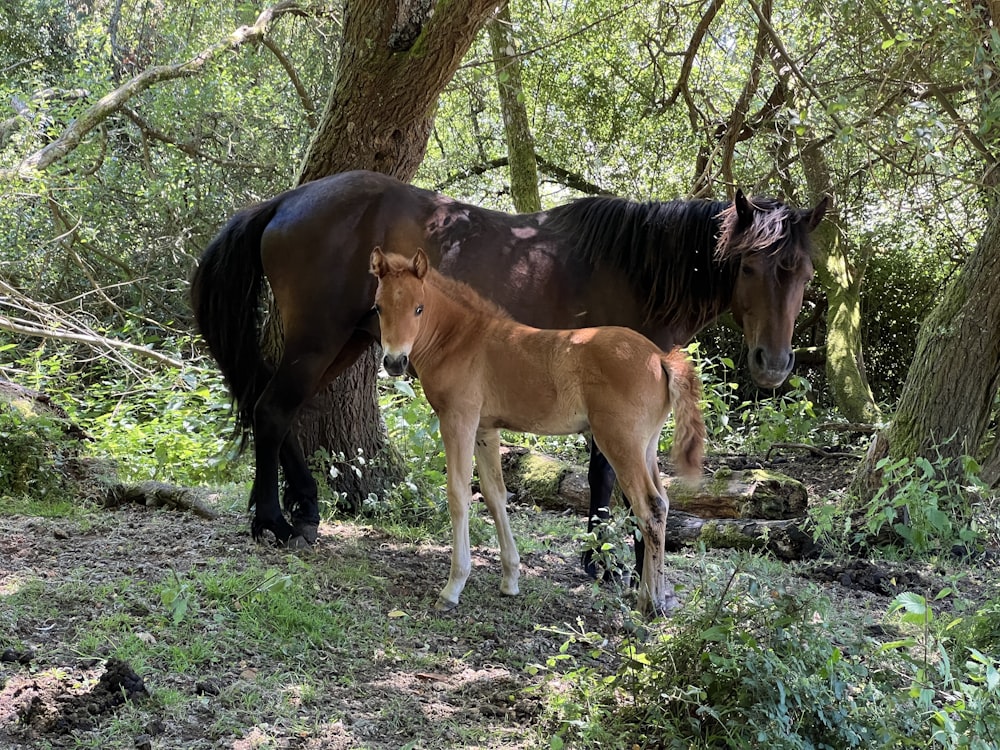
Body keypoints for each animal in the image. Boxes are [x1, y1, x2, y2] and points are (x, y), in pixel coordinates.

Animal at [193, 172, 828, 564]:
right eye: (749, 267)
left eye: (803, 272)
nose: (774, 365)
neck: (633, 269)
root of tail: (284, 202)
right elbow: (604, 477)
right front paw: (601, 562)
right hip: (318, 340)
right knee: (273, 411)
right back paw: (272, 522)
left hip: (344, 344)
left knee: (276, 408)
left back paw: (304, 509)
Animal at [368, 248, 704, 616]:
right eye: (379, 307)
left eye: (419, 307)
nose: (394, 362)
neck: (462, 340)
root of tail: (658, 356)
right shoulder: (486, 429)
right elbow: (495, 494)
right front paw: (510, 579)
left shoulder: (458, 419)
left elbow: (458, 494)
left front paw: (453, 587)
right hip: (647, 446)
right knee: (663, 503)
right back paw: (659, 596)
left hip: (619, 441)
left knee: (649, 508)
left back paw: (649, 602)